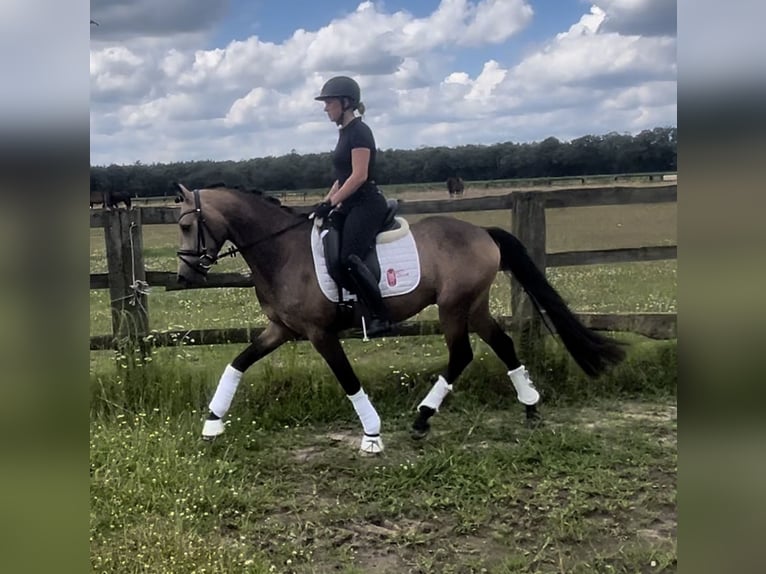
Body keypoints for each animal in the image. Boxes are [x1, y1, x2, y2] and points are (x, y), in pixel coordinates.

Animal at [176, 184, 632, 454]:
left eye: (185, 225)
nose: (184, 276)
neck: (283, 251)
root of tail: (483, 232)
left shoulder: (320, 334)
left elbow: (348, 380)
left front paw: (372, 434)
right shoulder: (282, 329)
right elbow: (237, 363)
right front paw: (213, 423)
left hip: (453, 307)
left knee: (461, 355)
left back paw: (422, 418)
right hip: (474, 305)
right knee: (502, 344)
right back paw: (531, 407)